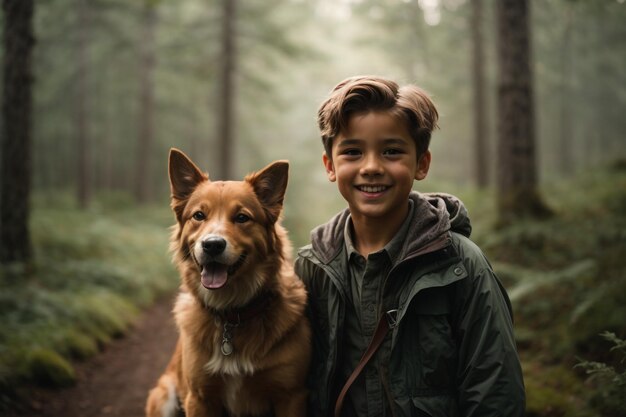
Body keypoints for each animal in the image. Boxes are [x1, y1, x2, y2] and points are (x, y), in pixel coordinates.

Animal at [147, 150, 312, 416]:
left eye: (242, 218)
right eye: (199, 216)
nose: (212, 245)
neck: (232, 315)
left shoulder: (291, 396)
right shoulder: (199, 397)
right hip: (164, 396)